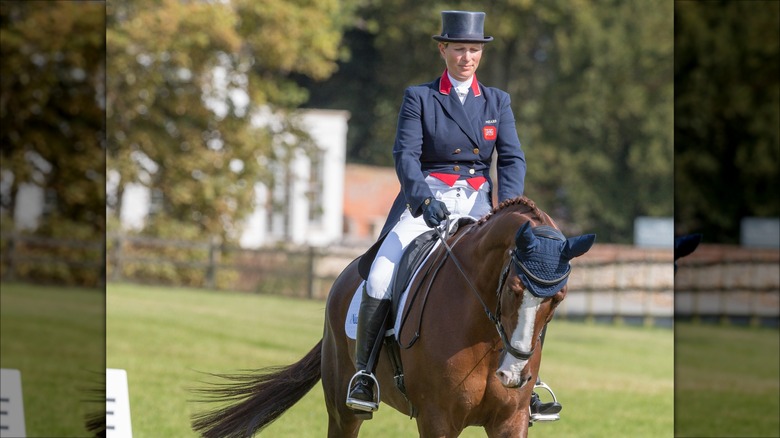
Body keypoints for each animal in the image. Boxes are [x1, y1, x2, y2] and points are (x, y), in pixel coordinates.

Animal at [192, 198, 596, 438]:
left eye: (557, 299)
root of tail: (345, 277)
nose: (513, 375)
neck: (485, 335)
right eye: (513, 289)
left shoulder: (509, 422)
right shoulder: (437, 420)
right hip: (343, 409)